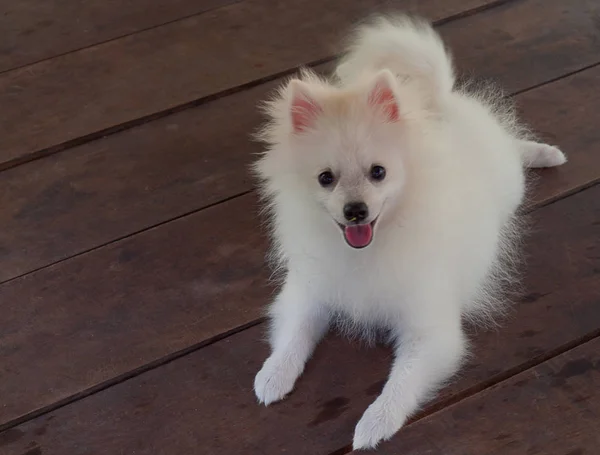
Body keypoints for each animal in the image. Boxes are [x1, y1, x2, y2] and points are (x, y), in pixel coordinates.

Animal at [251, 15, 564, 452]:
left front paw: (375, 423)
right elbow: (293, 334)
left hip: (510, 182)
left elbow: (401, 383)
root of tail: (439, 103)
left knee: (515, 152)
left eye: (378, 172)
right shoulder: (309, 291)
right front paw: (274, 374)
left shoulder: (429, 330)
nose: (355, 210)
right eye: (326, 178)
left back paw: (543, 153)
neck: (370, 250)